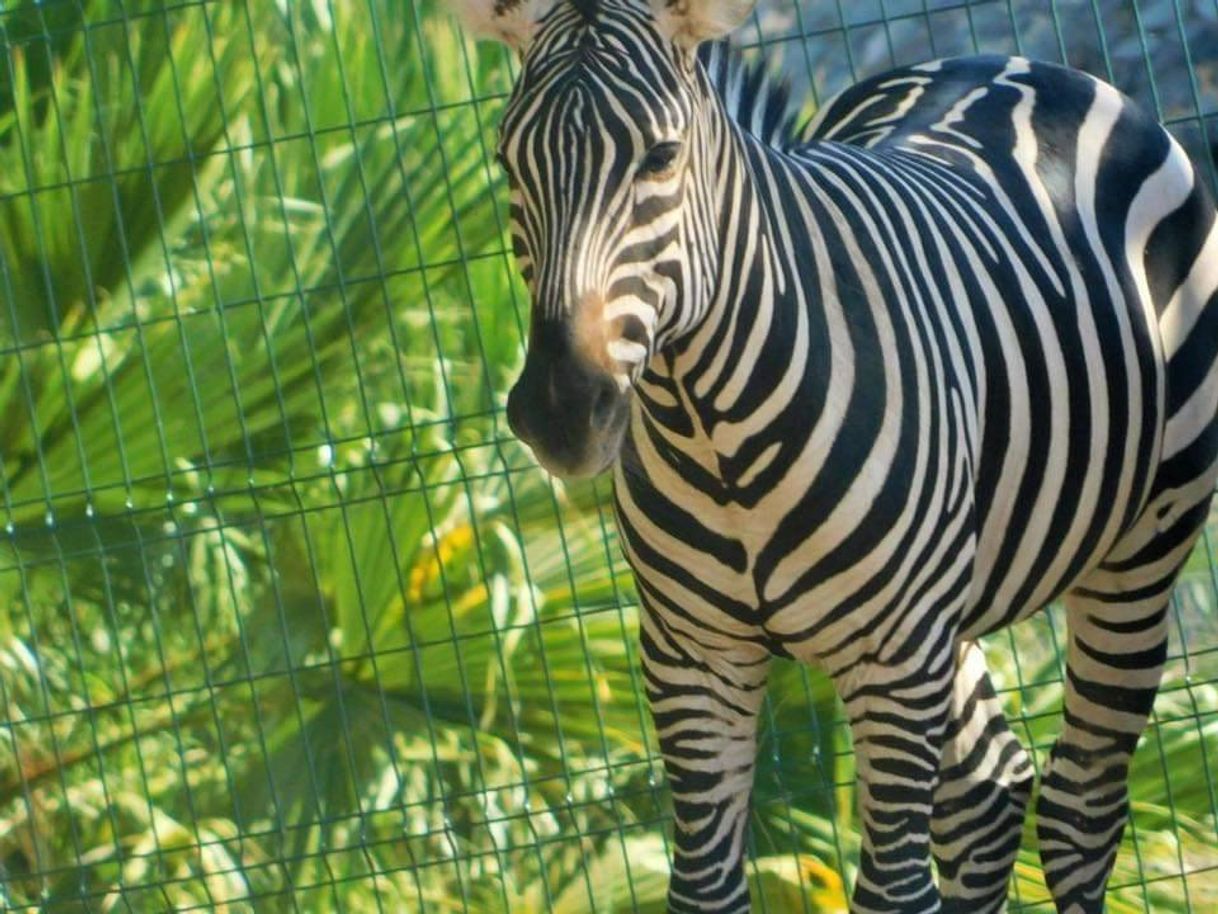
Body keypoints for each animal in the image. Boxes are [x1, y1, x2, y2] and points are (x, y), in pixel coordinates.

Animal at [455, 0, 1218, 911]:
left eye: (662, 156)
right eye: (508, 158)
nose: (562, 410)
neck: (713, 426)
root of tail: (1023, 65)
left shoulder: (896, 659)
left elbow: (893, 890)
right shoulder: (692, 655)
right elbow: (703, 888)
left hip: (1140, 551)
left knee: (1079, 809)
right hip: (952, 607)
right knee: (990, 794)